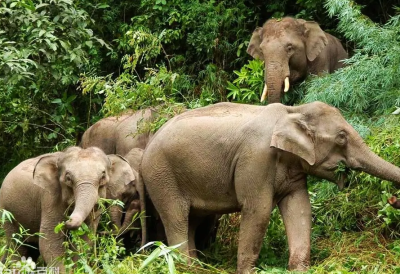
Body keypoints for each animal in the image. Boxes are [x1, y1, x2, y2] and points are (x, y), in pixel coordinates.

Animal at [0, 147, 135, 270]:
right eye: (68, 178)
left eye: (103, 176)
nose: (67, 221)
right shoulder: (50, 197)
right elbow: (49, 240)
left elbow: (85, 238)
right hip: (7, 212)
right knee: (16, 244)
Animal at [141, 101, 400, 274]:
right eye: (342, 137)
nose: (392, 200)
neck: (293, 110)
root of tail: (146, 147)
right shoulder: (256, 159)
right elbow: (259, 210)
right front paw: (248, 272)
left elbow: (300, 208)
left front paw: (299, 269)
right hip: (162, 176)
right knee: (177, 218)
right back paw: (184, 267)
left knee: (192, 221)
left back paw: (196, 267)